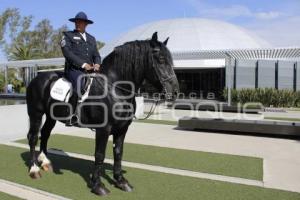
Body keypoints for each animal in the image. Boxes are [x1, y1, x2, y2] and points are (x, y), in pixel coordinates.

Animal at [25, 32, 178, 195]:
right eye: (161, 59)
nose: (175, 91)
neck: (114, 88)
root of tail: (37, 78)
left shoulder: (122, 128)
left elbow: (118, 152)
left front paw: (121, 181)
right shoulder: (103, 129)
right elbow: (99, 155)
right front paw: (98, 185)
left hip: (51, 116)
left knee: (45, 133)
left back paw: (45, 162)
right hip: (35, 113)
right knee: (33, 137)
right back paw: (34, 169)